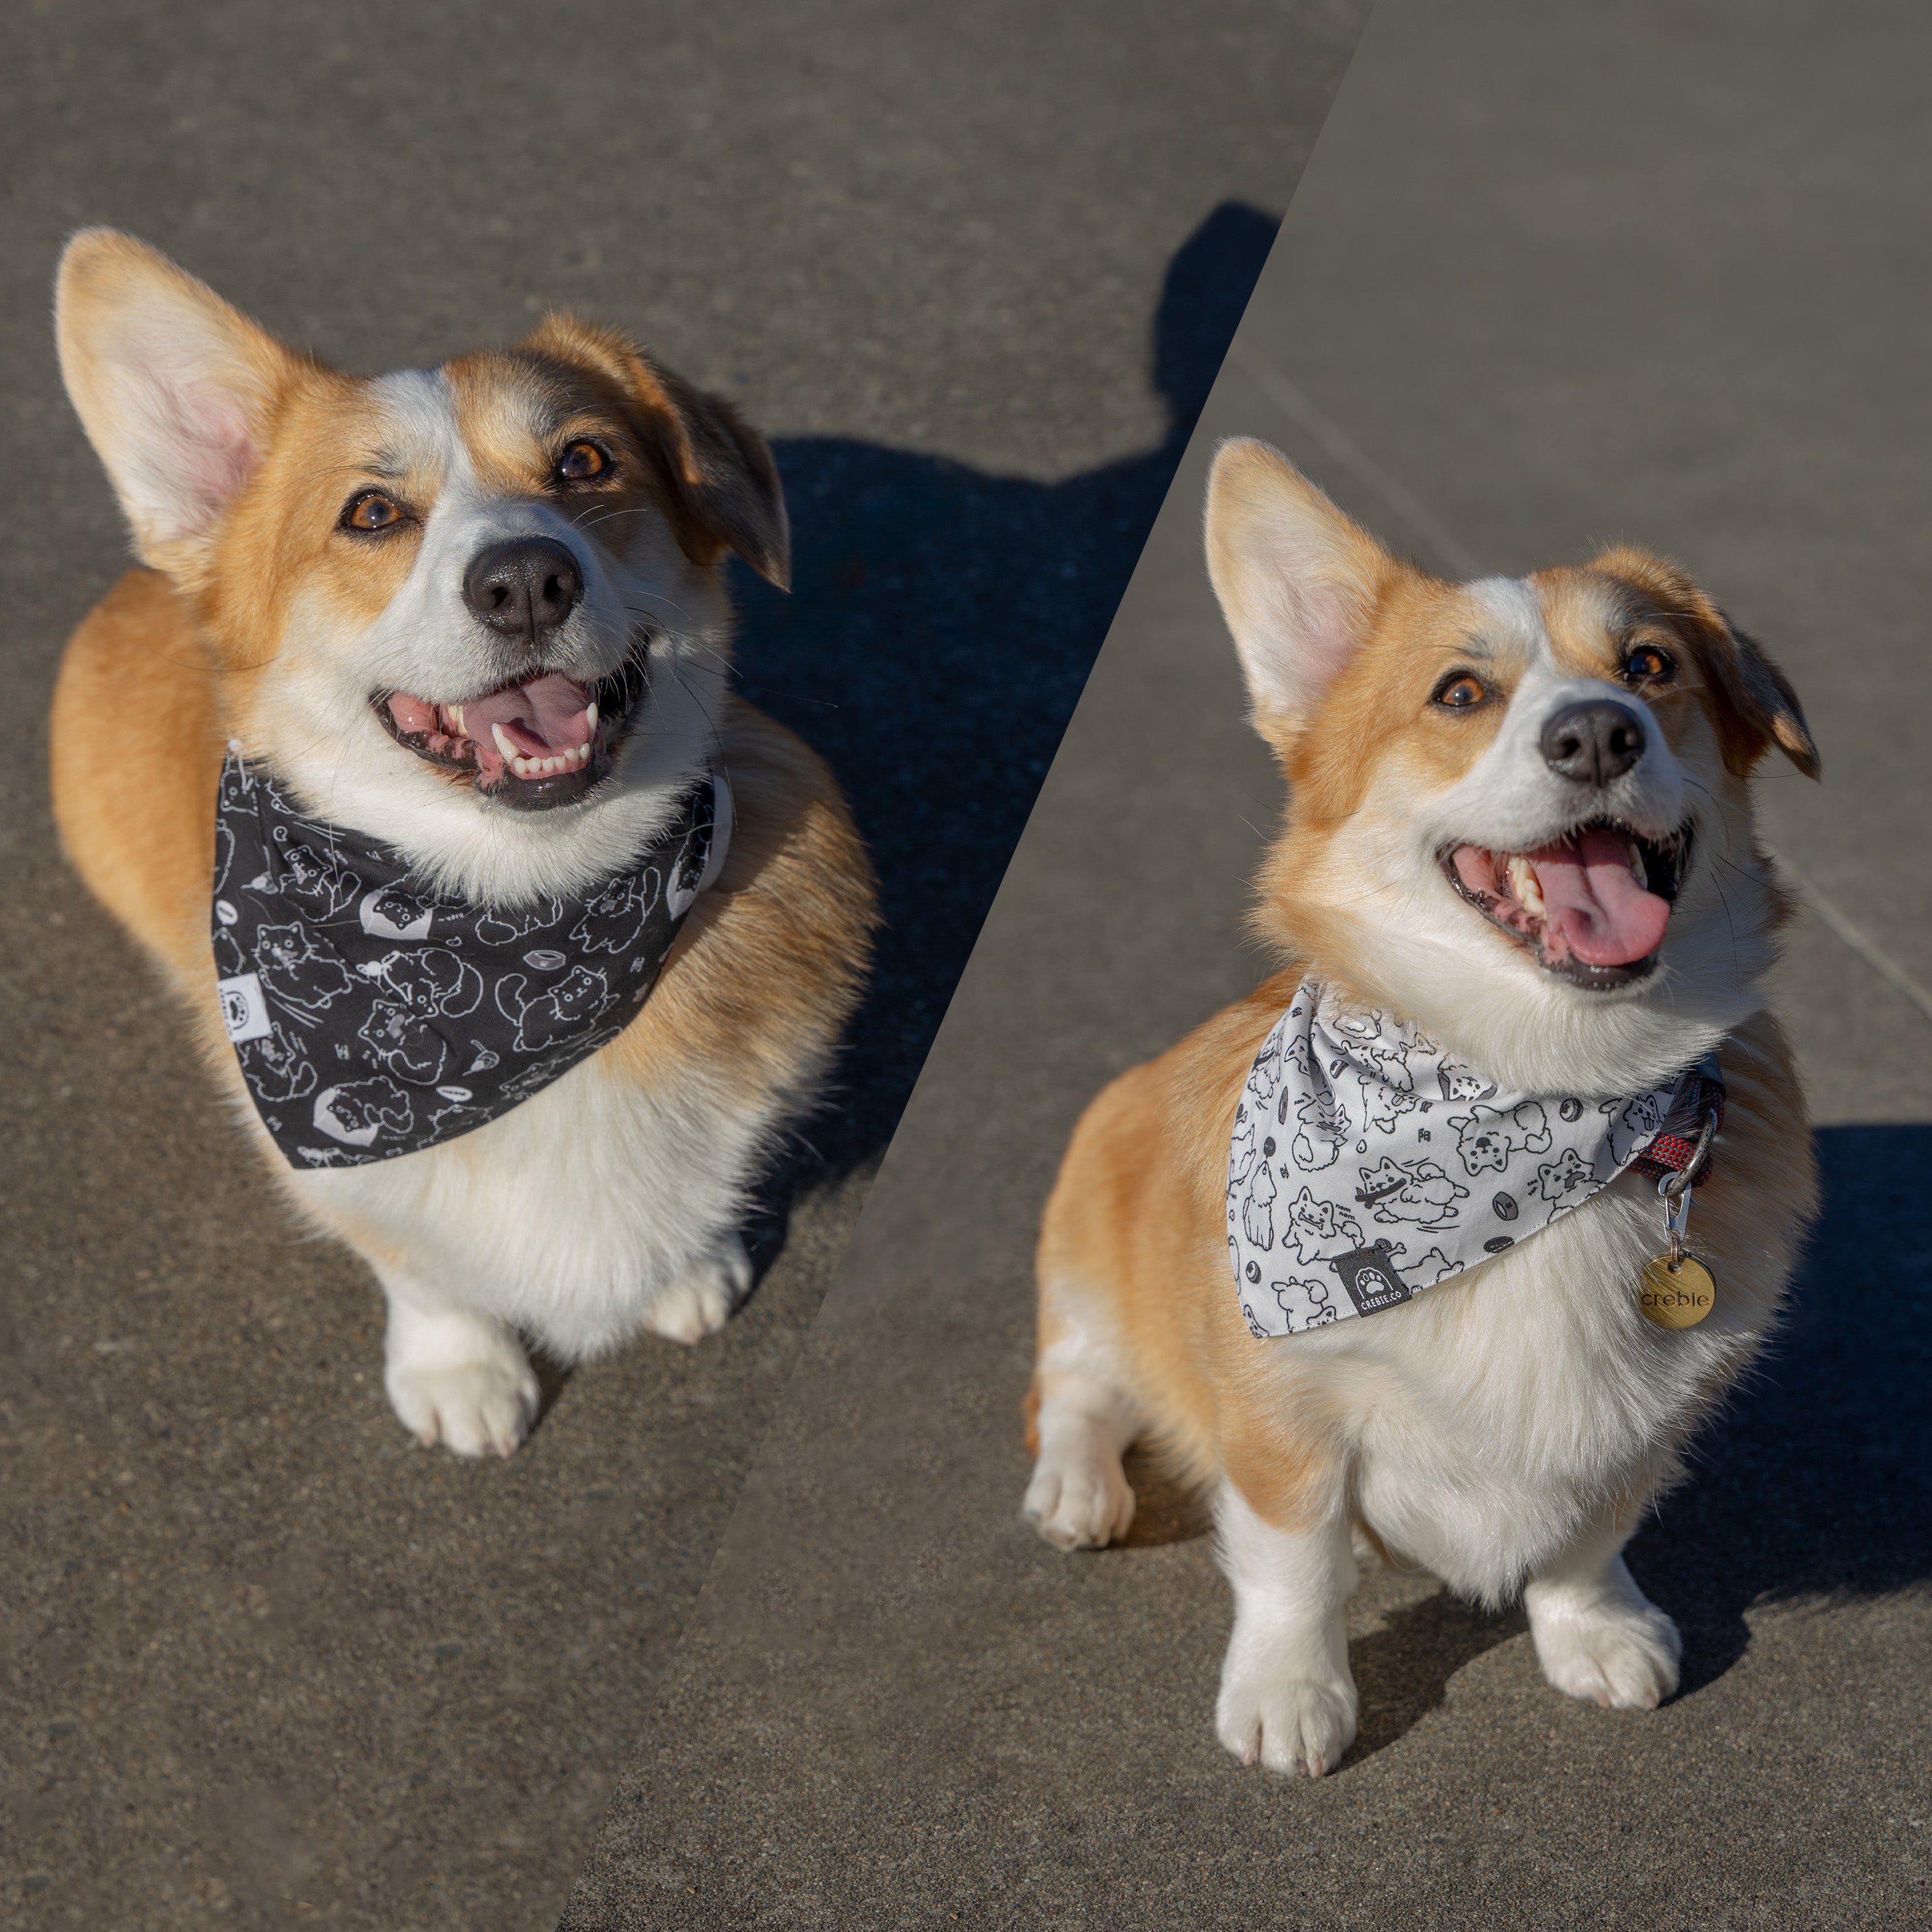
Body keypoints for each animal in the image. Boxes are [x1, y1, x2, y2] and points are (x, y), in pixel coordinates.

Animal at [47, 230, 877, 1453]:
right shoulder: (340, 1159)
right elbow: (422, 1270)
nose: (527, 578)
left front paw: (685, 1270)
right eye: (370, 514)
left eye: (583, 462)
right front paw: (462, 1373)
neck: (518, 914)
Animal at [1036, 444, 1816, 1770]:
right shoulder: (1281, 1403)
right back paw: (1078, 1488)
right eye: (1460, 693)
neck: (1541, 1093)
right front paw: (1290, 1696)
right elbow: (1293, 1560)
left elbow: (1589, 1536)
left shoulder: (1646, 1414)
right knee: (1080, 1382)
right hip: (1090, 1248)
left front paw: (1596, 1635)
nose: (1599, 733)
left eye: (1652, 667)